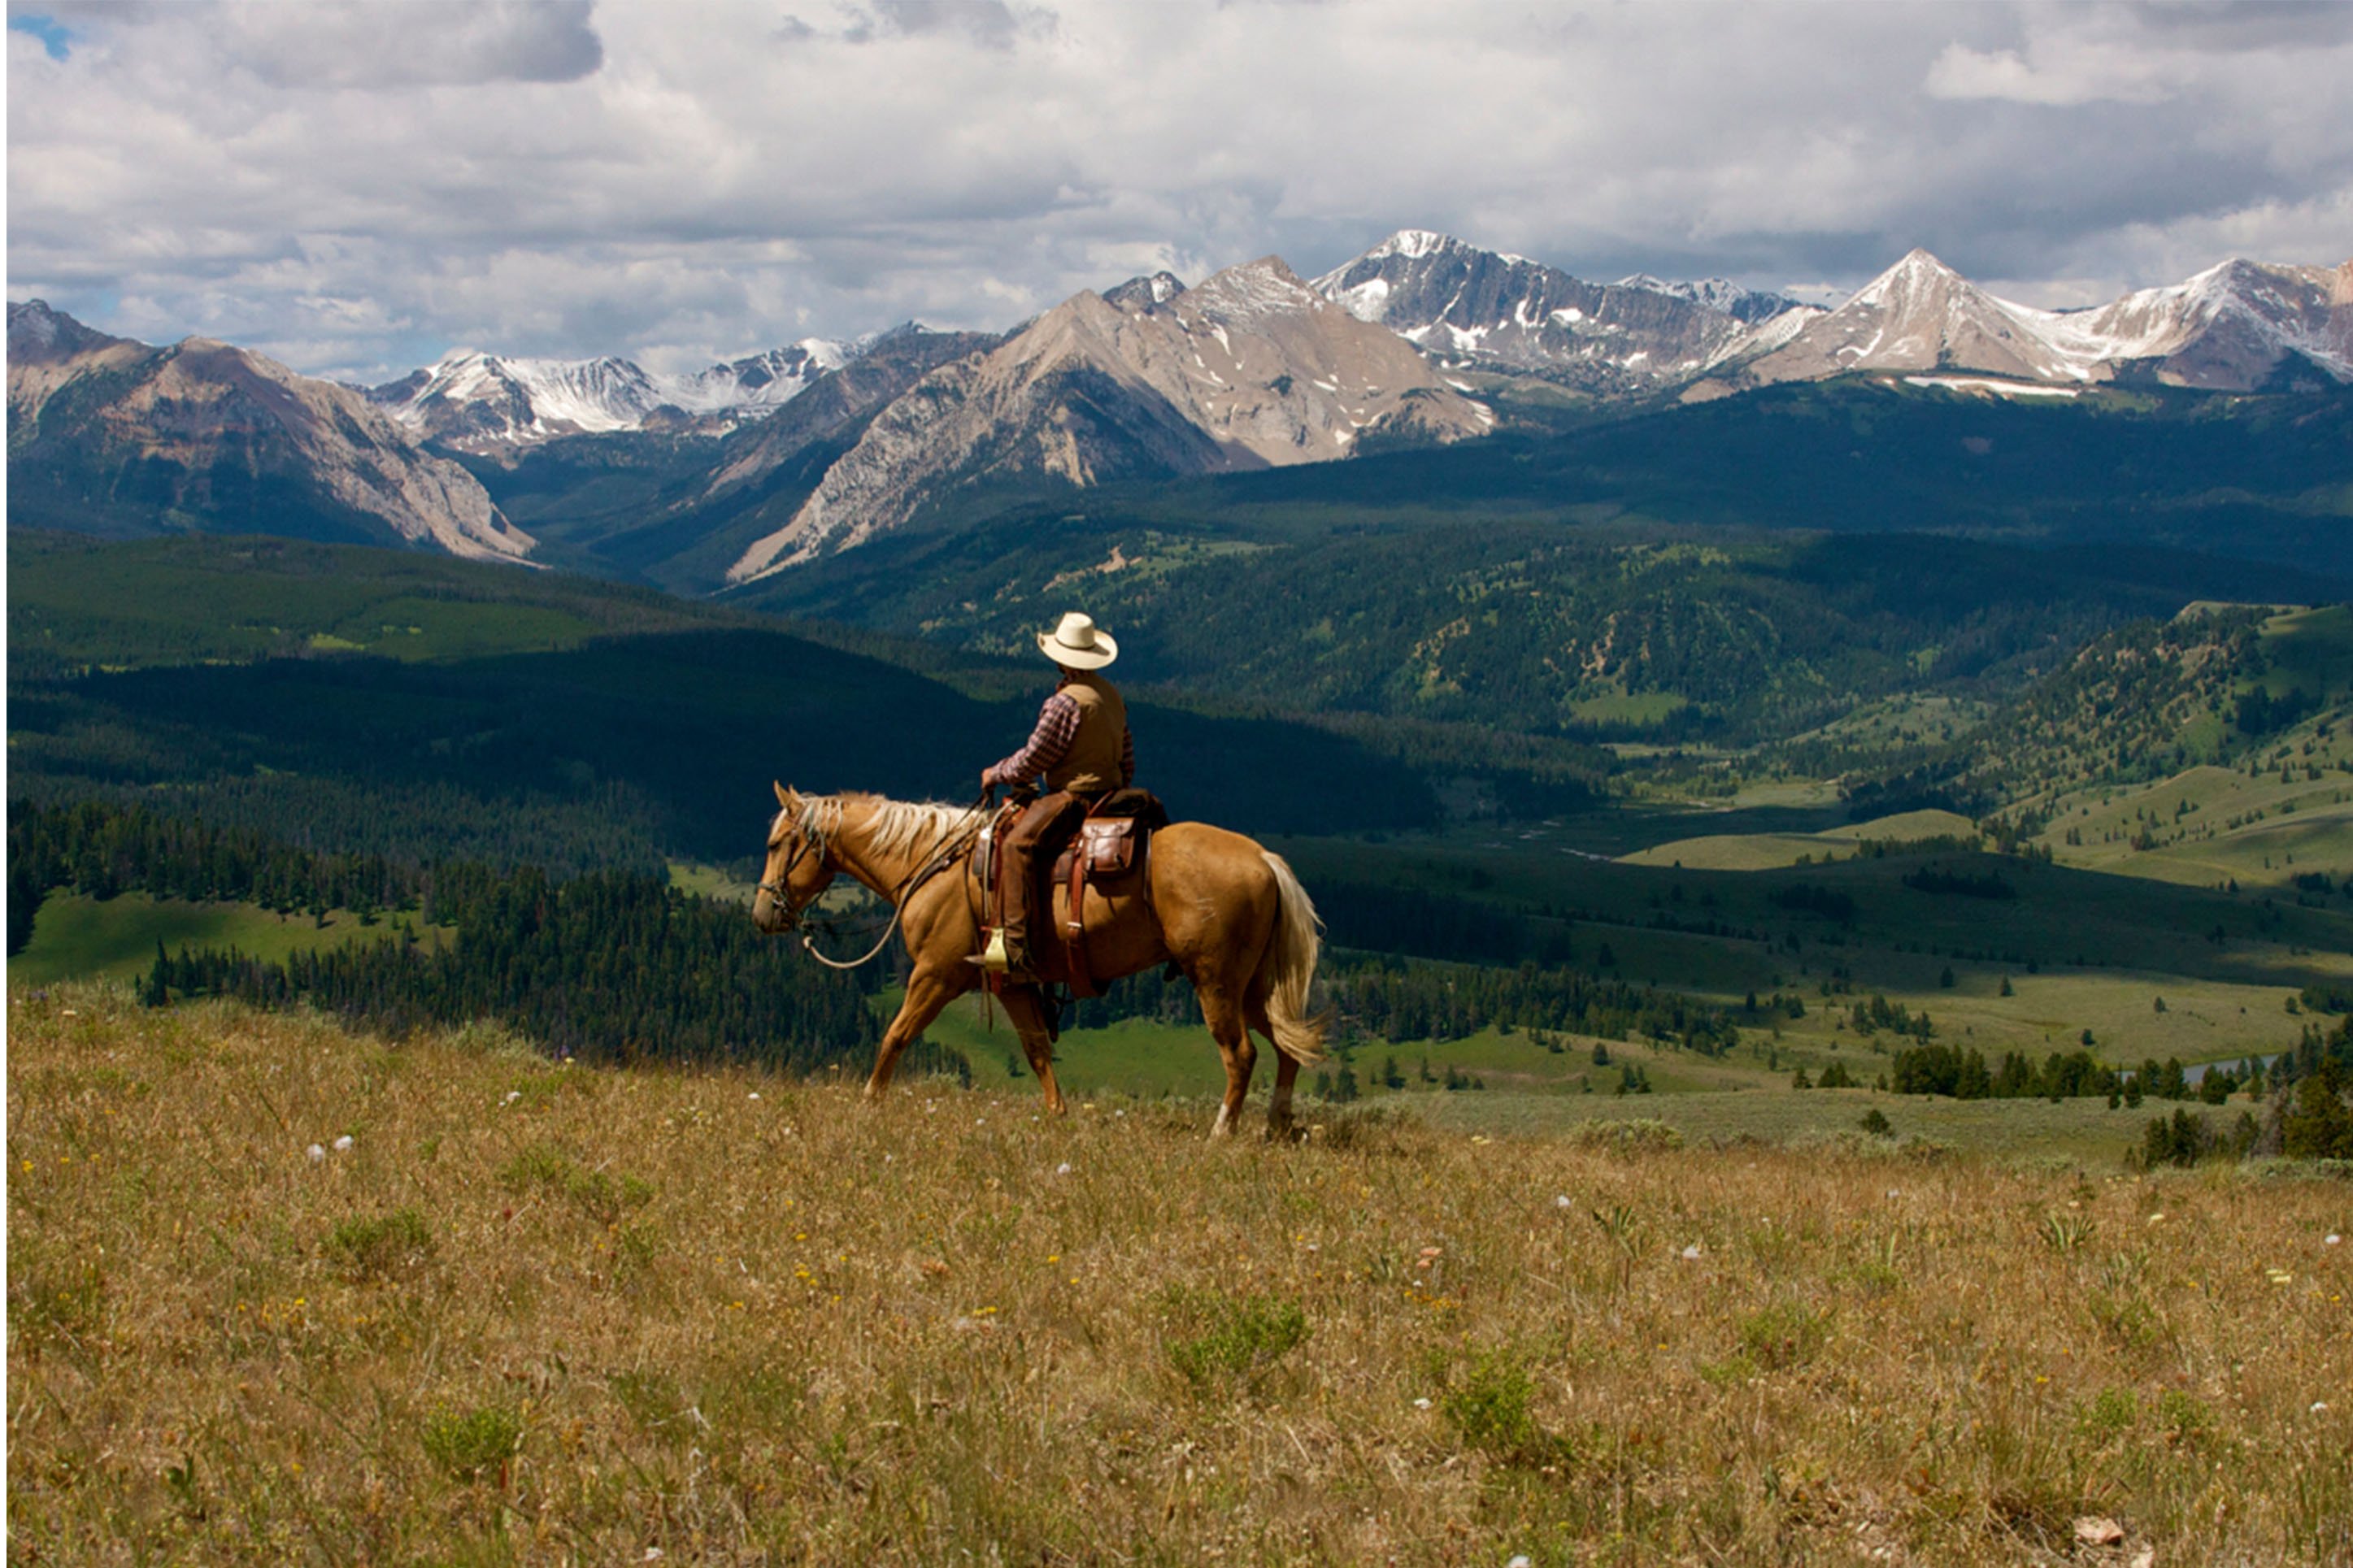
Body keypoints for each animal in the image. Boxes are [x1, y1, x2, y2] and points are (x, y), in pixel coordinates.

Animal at [762, 784, 1336, 1142]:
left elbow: (896, 1035)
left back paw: (1221, 1132)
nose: (763, 912)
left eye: (775, 843)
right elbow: (1037, 1050)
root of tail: (1263, 859)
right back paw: (1277, 1125)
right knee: (1286, 1048)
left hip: (1215, 981)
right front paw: (1058, 1114)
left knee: (1240, 1054)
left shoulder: (935, 975)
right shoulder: (1012, 982)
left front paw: (868, 1103)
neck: (930, 863)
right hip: (1254, 986)